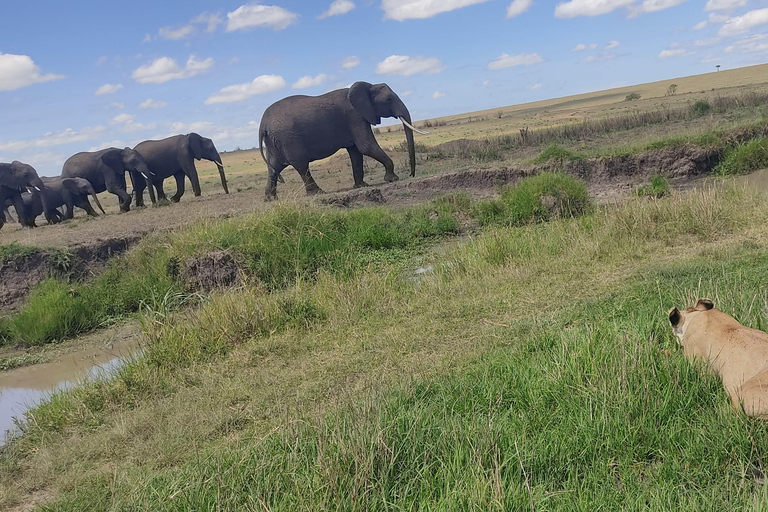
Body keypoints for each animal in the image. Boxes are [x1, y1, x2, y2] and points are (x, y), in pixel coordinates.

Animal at [258, 80, 426, 200]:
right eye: (389, 99)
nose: (411, 175)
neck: (368, 86)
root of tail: (263, 124)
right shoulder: (355, 116)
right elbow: (366, 146)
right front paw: (392, 179)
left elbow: (356, 152)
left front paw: (361, 185)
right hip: (288, 138)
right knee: (301, 164)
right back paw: (318, 193)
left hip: (276, 140)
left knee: (274, 167)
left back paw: (270, 199)